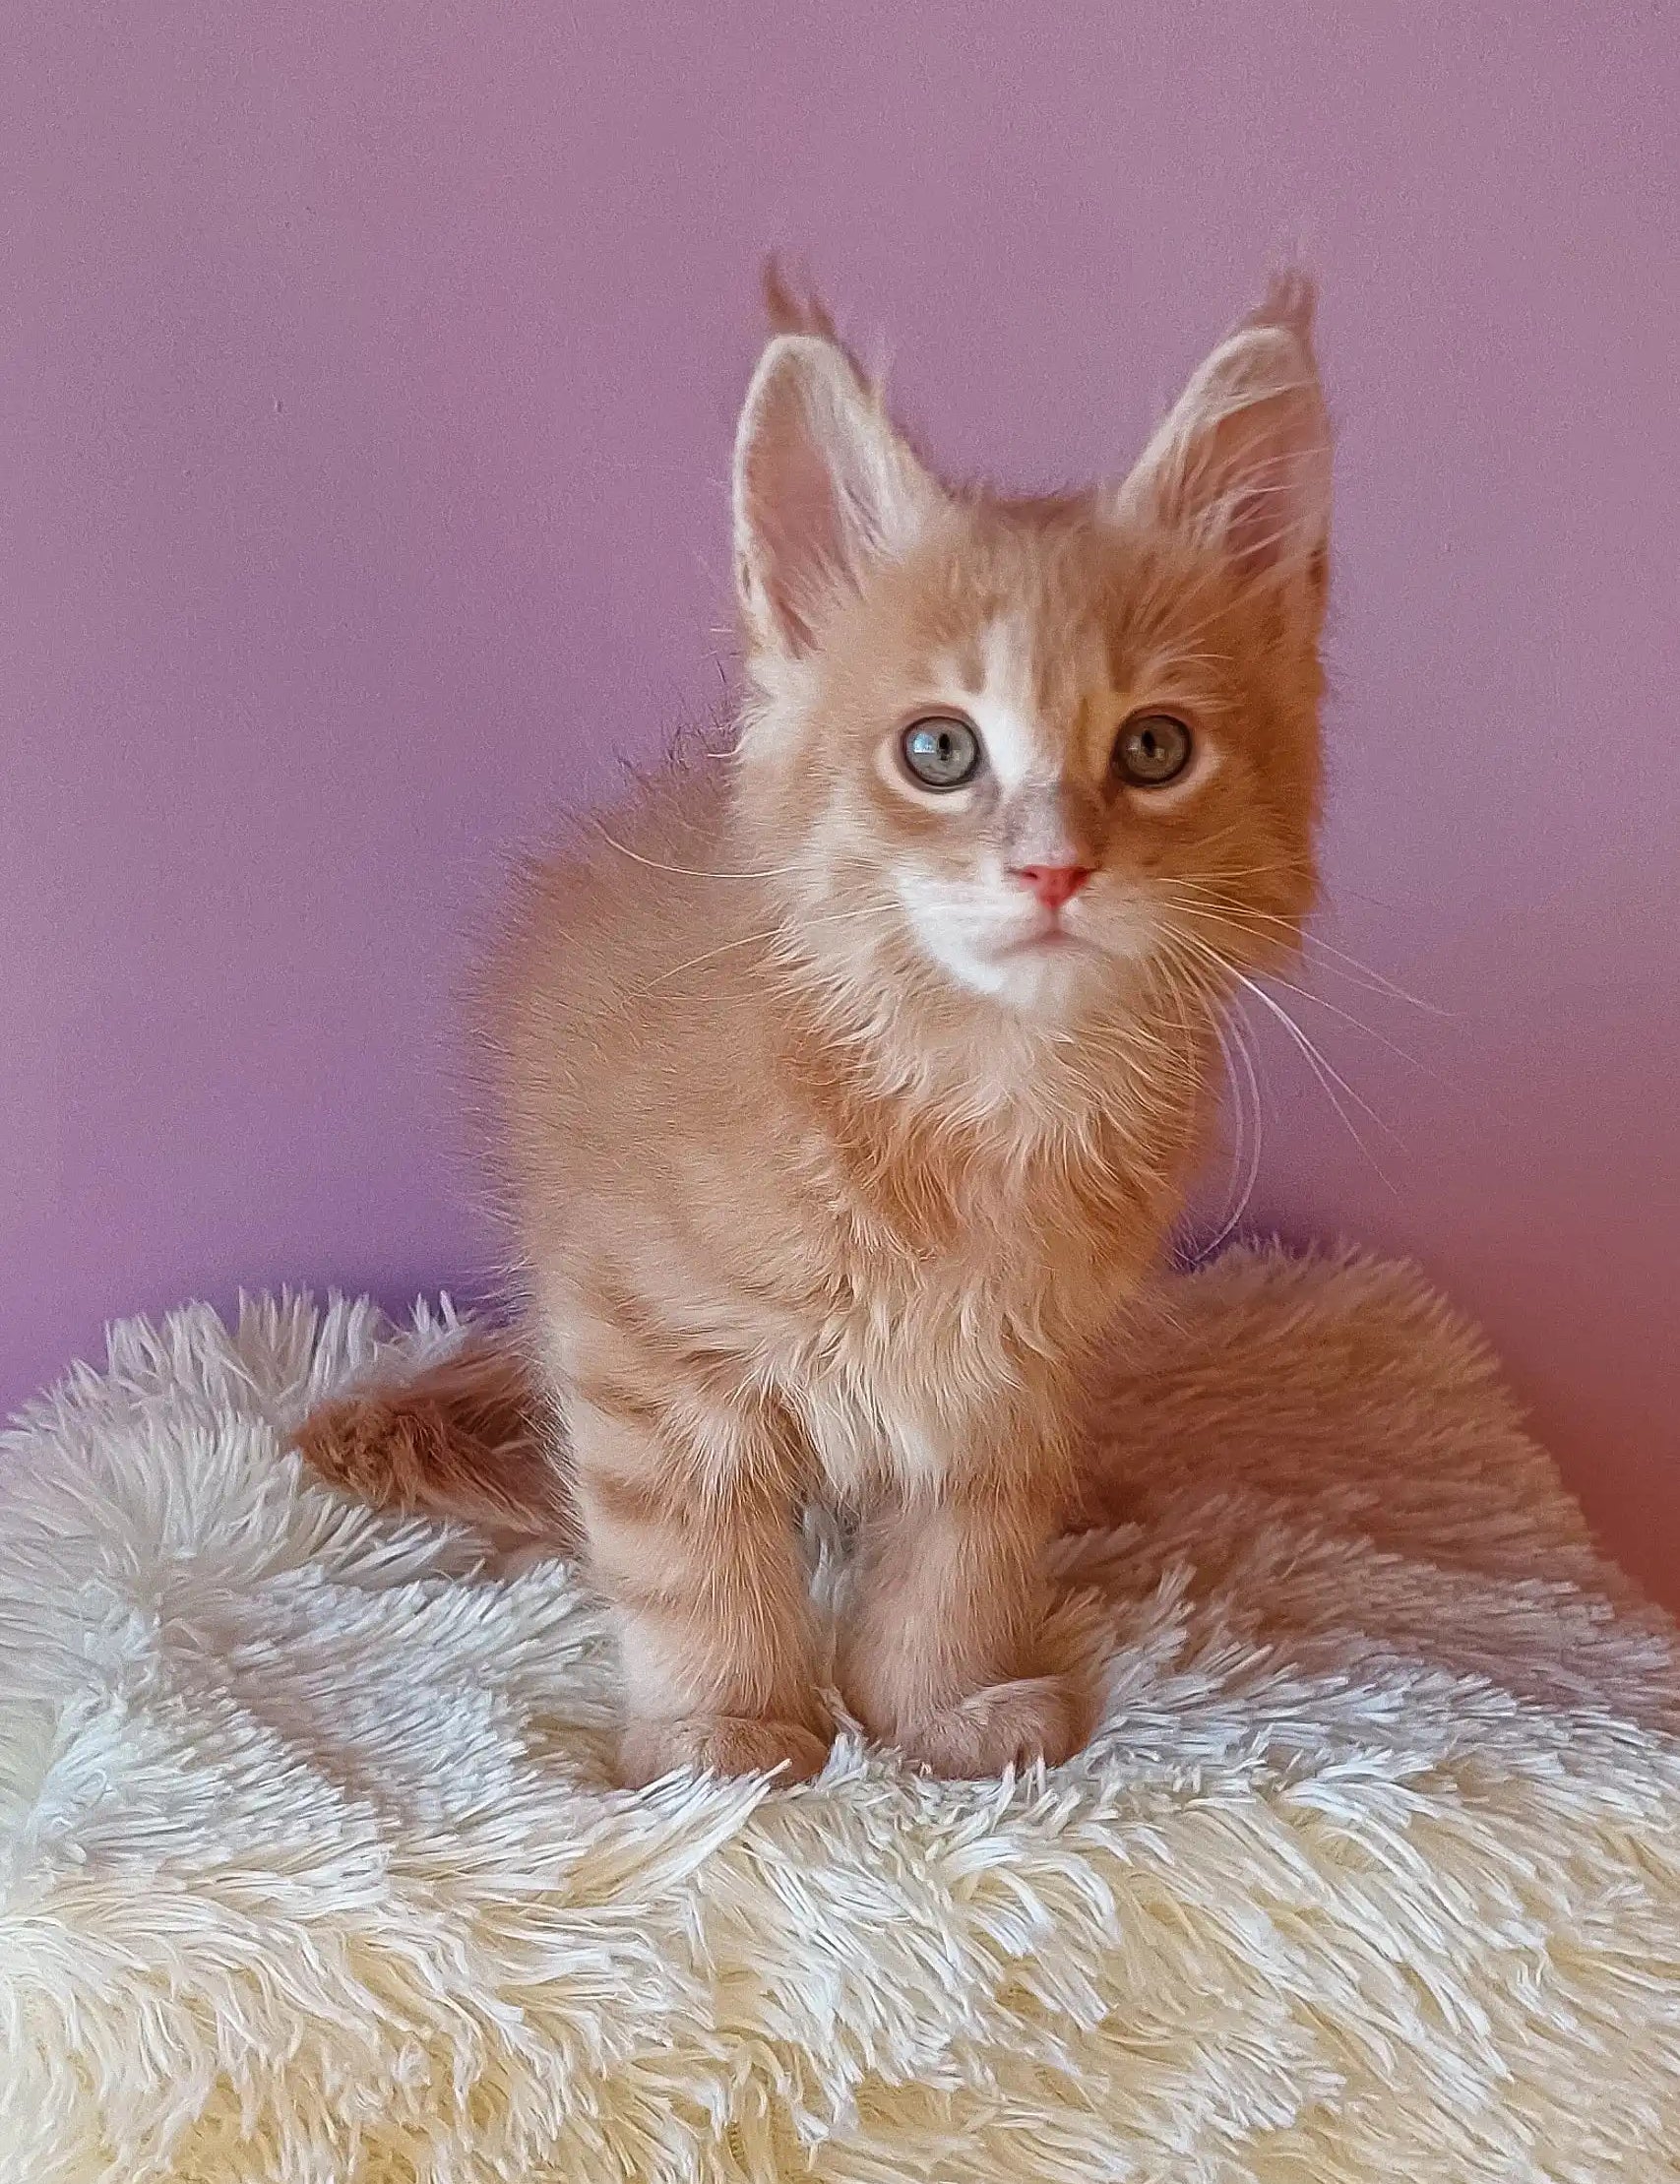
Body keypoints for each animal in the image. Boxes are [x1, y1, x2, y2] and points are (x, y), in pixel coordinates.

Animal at [296, 273, 1328, 1781]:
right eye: (939, 751)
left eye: (1153, 749)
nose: (1053, 868)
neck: (978, 1092)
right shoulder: (639, 1350)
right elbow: (690, 1561)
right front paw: (724, 1733)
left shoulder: (1004, 1392)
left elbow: (958, 1564)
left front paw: (941, 1705)